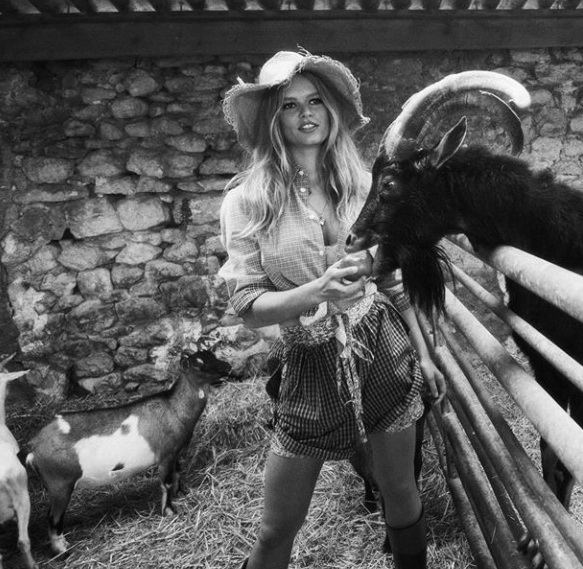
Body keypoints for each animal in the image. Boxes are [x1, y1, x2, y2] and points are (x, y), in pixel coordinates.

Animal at [26, 350, 233, 555]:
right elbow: (166, 483)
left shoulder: (175, 452)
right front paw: (170, 512)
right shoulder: (165, 455)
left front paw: (182, 493)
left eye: (212, 355)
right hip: (60, 484)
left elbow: (177, 474)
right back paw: (63, 549)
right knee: (53, 517)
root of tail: (34, 446)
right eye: (199, 364)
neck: (173, 408)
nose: (228, 366)